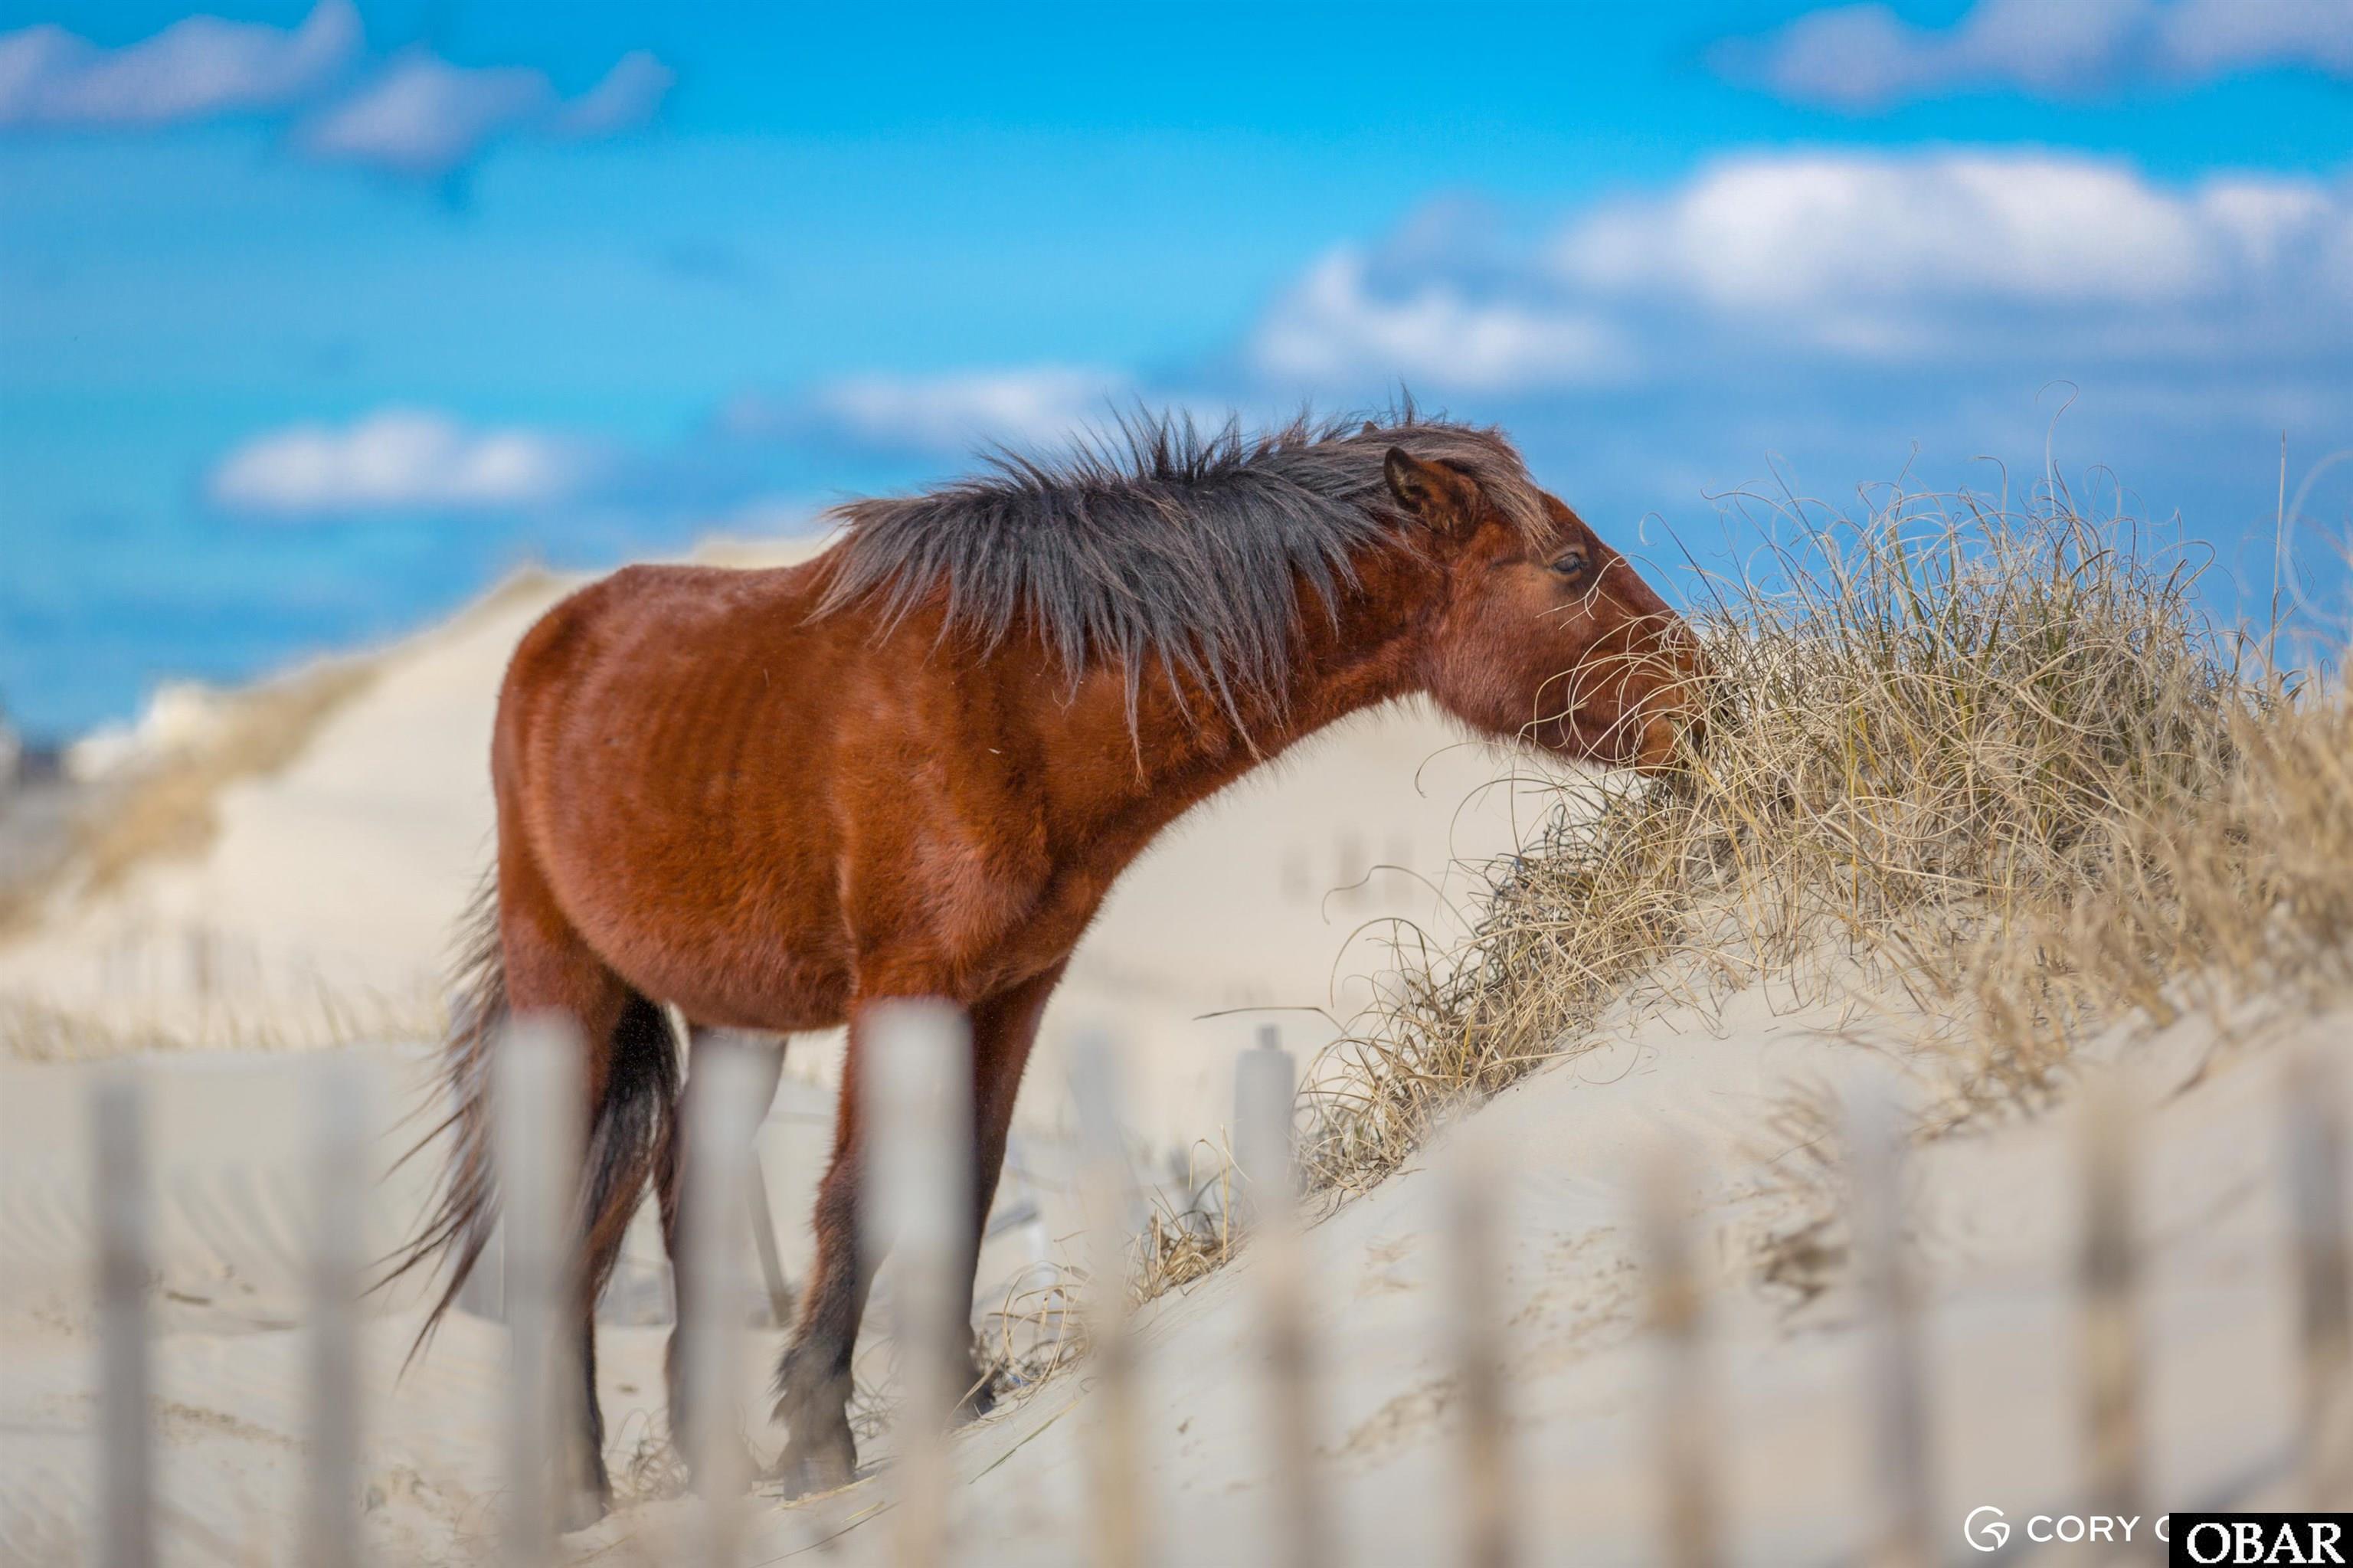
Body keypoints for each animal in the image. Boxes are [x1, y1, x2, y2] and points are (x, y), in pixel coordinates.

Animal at [390, 409, 1706, 1522]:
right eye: (1572, 566)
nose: (1711, 695)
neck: (1013, 697)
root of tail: (551, 640)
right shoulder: (907, 987)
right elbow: (857, 1192)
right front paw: (821, 1441)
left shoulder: (1013, 992)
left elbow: (964, 1186)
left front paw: (950, 1401)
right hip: (567, 983)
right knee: (570, 1219)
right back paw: (577, 1488)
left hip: (733, 1023)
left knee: (686, 1203)